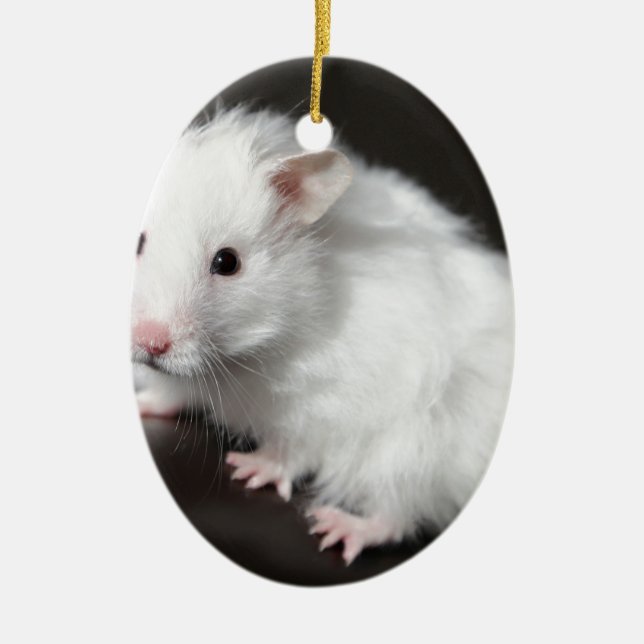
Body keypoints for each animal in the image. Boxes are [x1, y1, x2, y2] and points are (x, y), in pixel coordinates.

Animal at [131, 106, 514, 564]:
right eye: (138, 242)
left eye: (227, 262)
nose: (149, 341)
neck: (243, 359)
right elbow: (169, 393)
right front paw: (140, 402)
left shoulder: (330, 407)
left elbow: (293, 449)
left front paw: (249, 468)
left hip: (416, 450)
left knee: (395, 515)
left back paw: (336, 529)